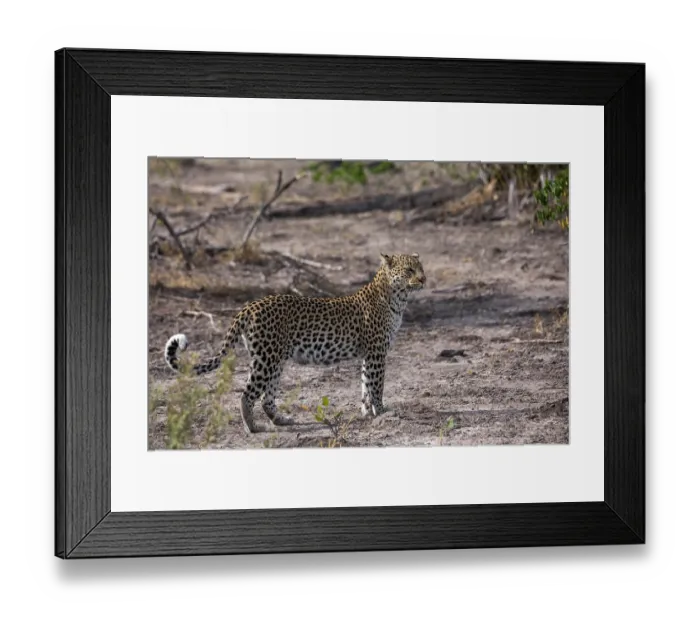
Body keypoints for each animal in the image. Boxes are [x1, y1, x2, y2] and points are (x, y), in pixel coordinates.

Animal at [163, 252, 426, 434]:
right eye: (409, 270)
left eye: (421, 268)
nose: (424, 280)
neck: (397, 298)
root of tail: (249, 306)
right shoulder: (377, 353)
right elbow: (376, 385)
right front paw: (381, 412)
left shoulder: (368, 355)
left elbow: (365, 386)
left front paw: (366, 413)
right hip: (267, 359)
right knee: (247, 394)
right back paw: (253, 428)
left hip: (274, 359)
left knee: (266, 398)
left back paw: (281, 420)